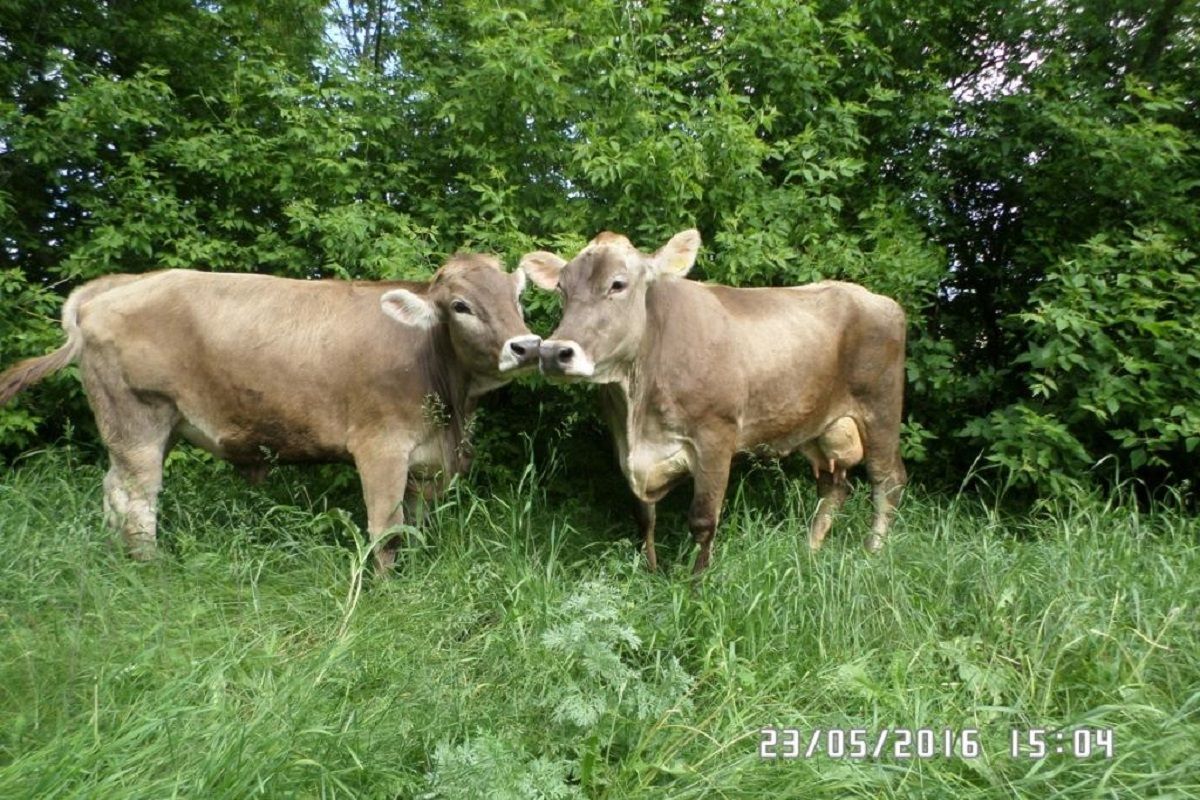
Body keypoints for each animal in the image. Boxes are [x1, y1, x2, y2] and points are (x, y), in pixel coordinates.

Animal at [0, 256, 540, 568]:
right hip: (137, 419)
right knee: (136, 501)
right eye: (461, 306)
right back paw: (151, 570)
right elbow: (385, 530)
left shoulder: (428, 460)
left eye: (517, 296)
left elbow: (415, 524)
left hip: (155, 426)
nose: (527, 345)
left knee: (113, 490)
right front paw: (388, 591)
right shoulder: (380, 447)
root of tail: (114, 286)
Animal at [520, 227, 902, 573]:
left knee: (889, 481)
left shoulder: (715, 437)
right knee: (834, 488)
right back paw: (810, 551)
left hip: (881, 411)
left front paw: (696, 584)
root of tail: (876, 298)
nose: (553, 353)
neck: (638, 409)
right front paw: (651, 573)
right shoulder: (625, 446)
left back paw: (873, 552)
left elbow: (703, 520)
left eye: (617, 284)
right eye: (562, 288)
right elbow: (644, 517)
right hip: (819, 427)